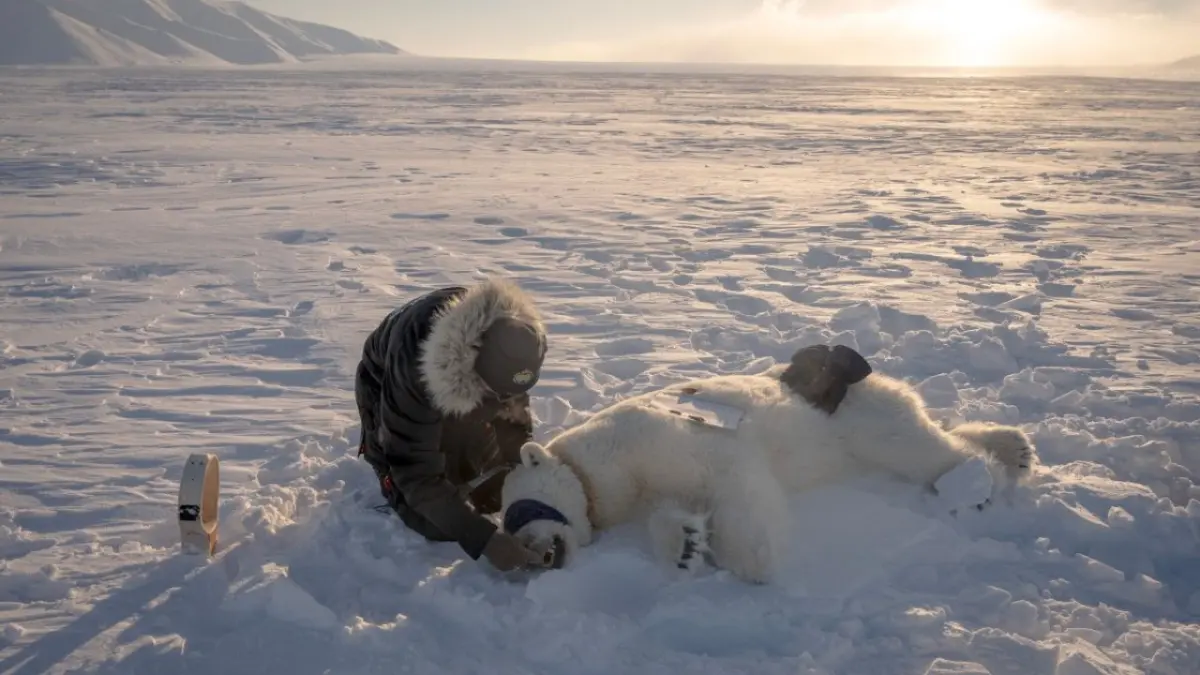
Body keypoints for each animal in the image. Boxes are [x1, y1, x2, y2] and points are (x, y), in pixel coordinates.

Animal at [499, 343, 1036, 584]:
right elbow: (672, 508)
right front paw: (686, 546)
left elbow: (737, 482)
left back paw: (975, 482)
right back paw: (1016, 448)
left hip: (857, 419)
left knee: (914, 447)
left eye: (516, 511)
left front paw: (753, 560)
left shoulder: (658, 438)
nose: (537, 557)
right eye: (507, 524)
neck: (597, 467)